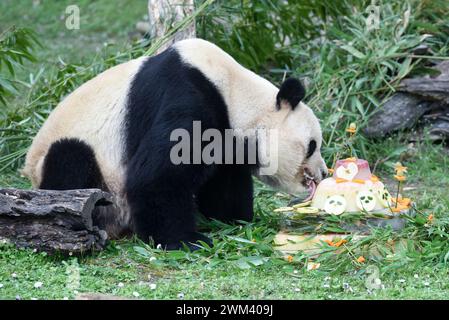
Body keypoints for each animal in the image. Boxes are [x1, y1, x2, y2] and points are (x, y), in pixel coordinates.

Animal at [21, 38, 326, 250]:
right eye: (312, 145)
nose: (323, 173)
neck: (233, 92)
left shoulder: (226, 137)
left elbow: (223, 182)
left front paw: (234, 219)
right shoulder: (188, 95)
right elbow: (157, 175)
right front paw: (184, 240)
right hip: (82, 166)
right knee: (70, 157)